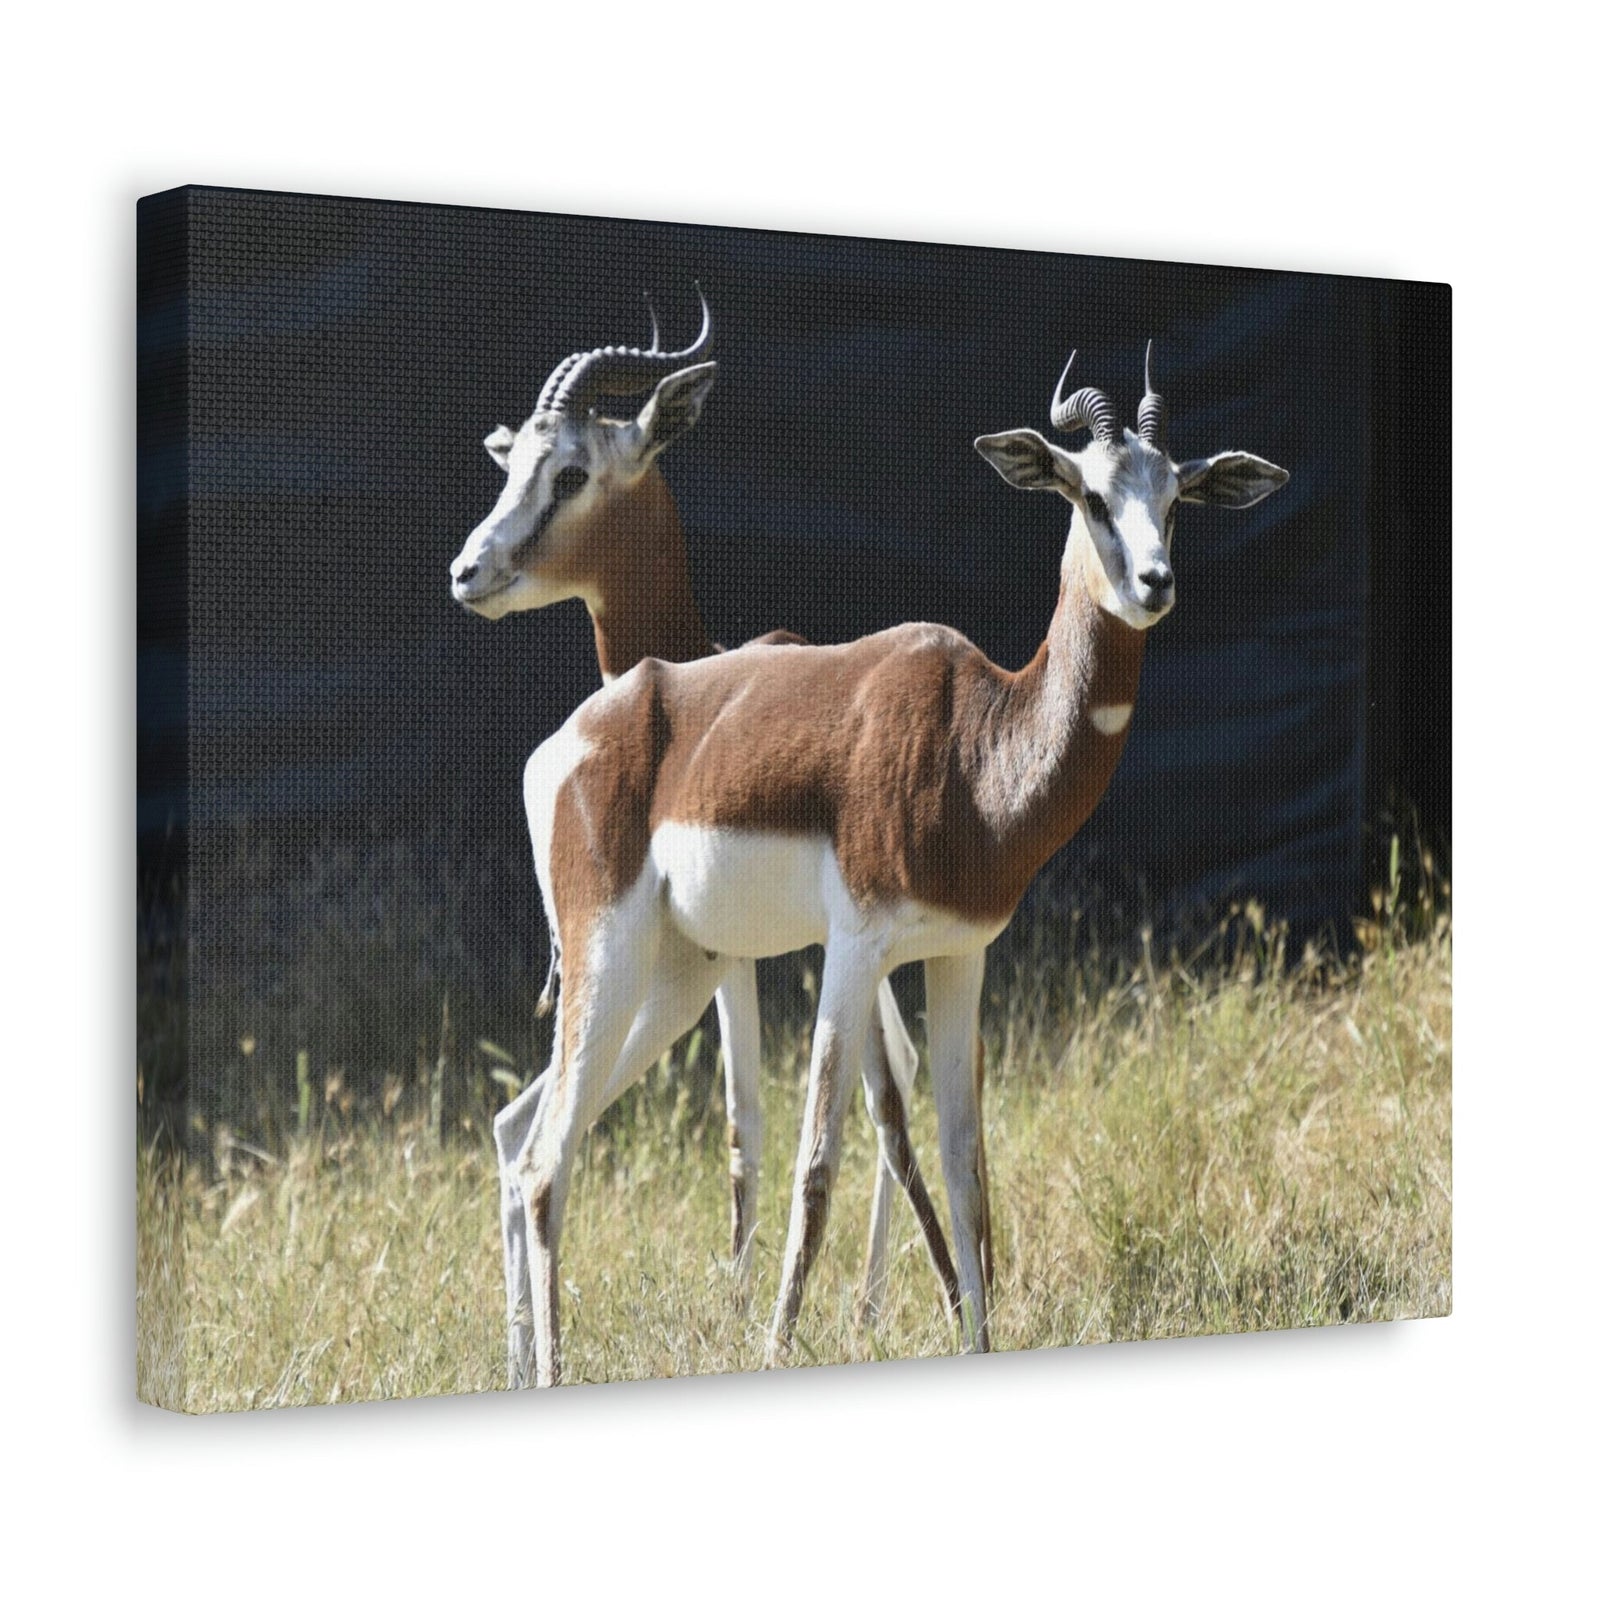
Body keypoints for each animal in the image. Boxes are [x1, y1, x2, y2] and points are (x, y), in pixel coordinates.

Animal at [449, 296, 961, 1388]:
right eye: (512, 466)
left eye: (570, 471)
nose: (469, 570)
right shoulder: (739, 961)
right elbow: (745, 1121)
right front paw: (741, 1304)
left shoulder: (773, 957)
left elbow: (798, 1117)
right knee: (531, 1131)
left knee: (889, 1095)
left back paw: (872, 1303)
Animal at [511, 344, 1289, 1384]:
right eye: (1088, 494)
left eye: (1175, 498)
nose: (1155, 584)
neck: (977, 744)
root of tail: (571, 738)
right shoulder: (853, 949)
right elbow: (818, 1162)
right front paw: (777, 1349)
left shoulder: (961, 954)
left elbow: (967, 1164)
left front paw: (978, 1340)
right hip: (610, 955)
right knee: (547, 1160)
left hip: (679, 973)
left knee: (537, 1144)